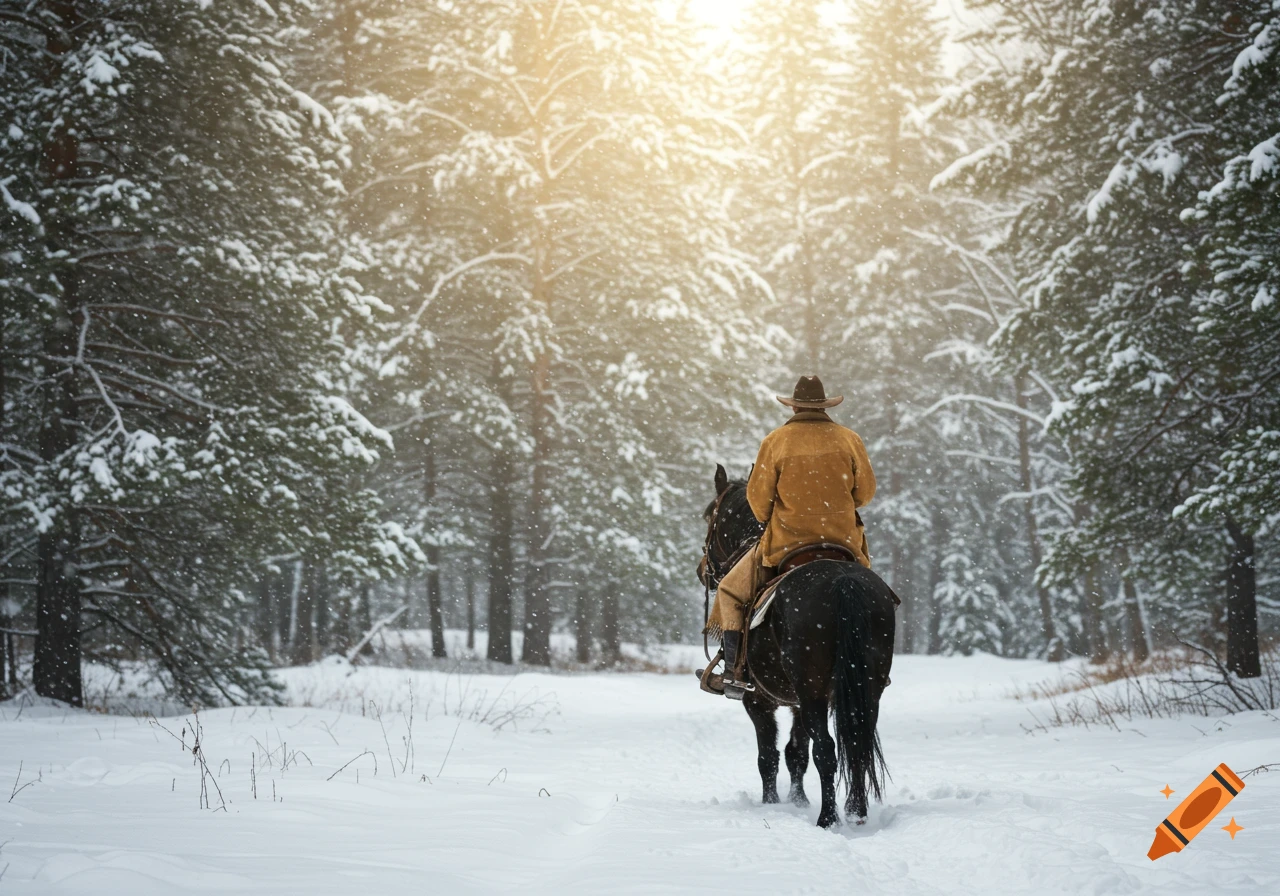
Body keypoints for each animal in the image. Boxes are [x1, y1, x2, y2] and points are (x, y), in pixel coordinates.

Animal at [699, 464, 897, 828]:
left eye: (710, 515)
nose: (702, 570)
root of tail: (842, 582)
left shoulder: (759, 700)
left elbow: (770, 755)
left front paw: (772, 803)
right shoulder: (797, 703)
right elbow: (796, 753)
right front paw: (797, 800)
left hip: (812, 690)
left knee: (827, 750)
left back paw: (828, 818)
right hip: (865, 686)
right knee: (857, 741)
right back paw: (856, 811)